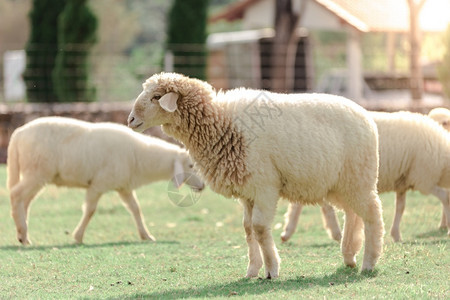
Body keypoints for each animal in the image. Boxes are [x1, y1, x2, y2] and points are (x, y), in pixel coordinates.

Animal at [6, 116, 204, 245]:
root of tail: (17, 134)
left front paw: (146, 236)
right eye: (191, 165)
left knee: (25, 202)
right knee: (16, 195)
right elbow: (90, 210)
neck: (139, 156)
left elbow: (135, 209)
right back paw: (23, 233)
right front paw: (78, 237)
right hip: (36, 172)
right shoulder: (98, 184)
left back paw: (23, 235)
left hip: (36, 175)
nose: (203, 186)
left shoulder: (123, 187)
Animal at [126, 71, 384, 278]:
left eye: (156, 97)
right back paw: (349, 256)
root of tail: (367, 116)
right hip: (339, 184)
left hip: (359, 177)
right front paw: (252, 270)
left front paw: (271, 270)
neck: (221, 123)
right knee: (353, 214)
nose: (130, 120)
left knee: (372, 214)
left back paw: (368, 262)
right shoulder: (247, 191)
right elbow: (248, 229)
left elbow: (259, 228)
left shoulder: (264, 186)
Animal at [282, 110, 450, 244]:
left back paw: (290, 231)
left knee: (304, 203)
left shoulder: (403, 181)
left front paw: (396, 234)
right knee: (318, 205)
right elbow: (445, 197)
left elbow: (400, 208)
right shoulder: (423, 178)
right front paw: (447, 227)